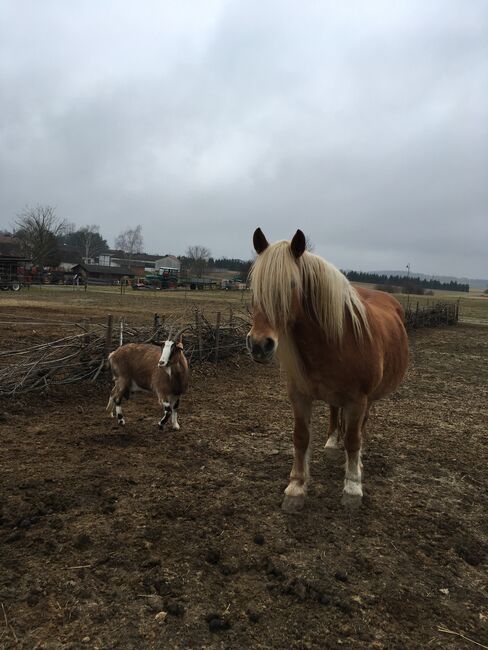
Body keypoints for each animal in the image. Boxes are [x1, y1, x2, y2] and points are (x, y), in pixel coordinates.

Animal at [248, 230, 408, 508]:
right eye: (256, 286)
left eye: (292, 284)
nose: (259, 345)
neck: (337, 340)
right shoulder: (299, 395)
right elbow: (301, 437)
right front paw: (296, 486)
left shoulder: (358, 400)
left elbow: (353, 440)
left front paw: (352, 487)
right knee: (334, 411)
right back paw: (333, 444)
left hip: (369, 398)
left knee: (360, 428)